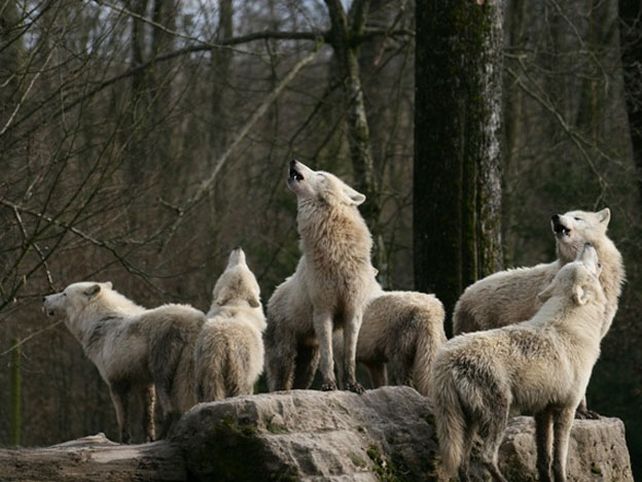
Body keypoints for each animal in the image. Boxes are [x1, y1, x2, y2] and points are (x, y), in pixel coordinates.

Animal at [194, 248, 266, 401]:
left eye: (245, 265)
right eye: (232, 266)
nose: (237, 247)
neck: (236, 304)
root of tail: (221, 341)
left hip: (206, 374)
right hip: (239, 374)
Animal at [264, 160, 378, 393]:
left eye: (320, 174)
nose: (293, 160)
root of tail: (274, 294)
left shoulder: (353, 311)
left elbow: (350, 356)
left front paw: (353, 385)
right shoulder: (323, 311)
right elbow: (329, 356)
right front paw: (329, 385)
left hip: (307, 361)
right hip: (285, 356)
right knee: (280, 383)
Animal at [430, 245, 607, 482]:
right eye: (581, 263)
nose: (587, 245)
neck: (573, 325)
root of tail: (445, 360)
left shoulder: (543, 411)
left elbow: (544, 459)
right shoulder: (566, 409)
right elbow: (559, 461)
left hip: (469, 421)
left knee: (462, 463)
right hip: (498, 415)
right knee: (486, 456)